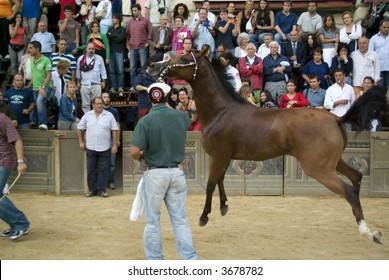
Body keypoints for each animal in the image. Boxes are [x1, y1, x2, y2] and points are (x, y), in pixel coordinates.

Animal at [151, 51, 384, 244]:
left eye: (183, 57)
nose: (154, 66)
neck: (221, 111)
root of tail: (336, 119)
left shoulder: (217, 156)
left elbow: (210, 185)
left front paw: (204, 217)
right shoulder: (224, 157)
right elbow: (220, 181)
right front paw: (224, 206)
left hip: (319, 168)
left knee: (349, 191)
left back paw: (369, 232)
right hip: (334, 162)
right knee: (356, 178)